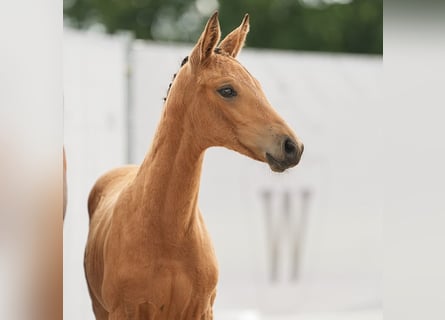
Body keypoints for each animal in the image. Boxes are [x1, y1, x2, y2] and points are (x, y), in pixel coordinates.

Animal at [84, 12, 302, 320]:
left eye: (258, 86)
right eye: (227, 90)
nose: (292, 146)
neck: (168, 234)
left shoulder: (201, 309)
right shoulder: (124, 311)